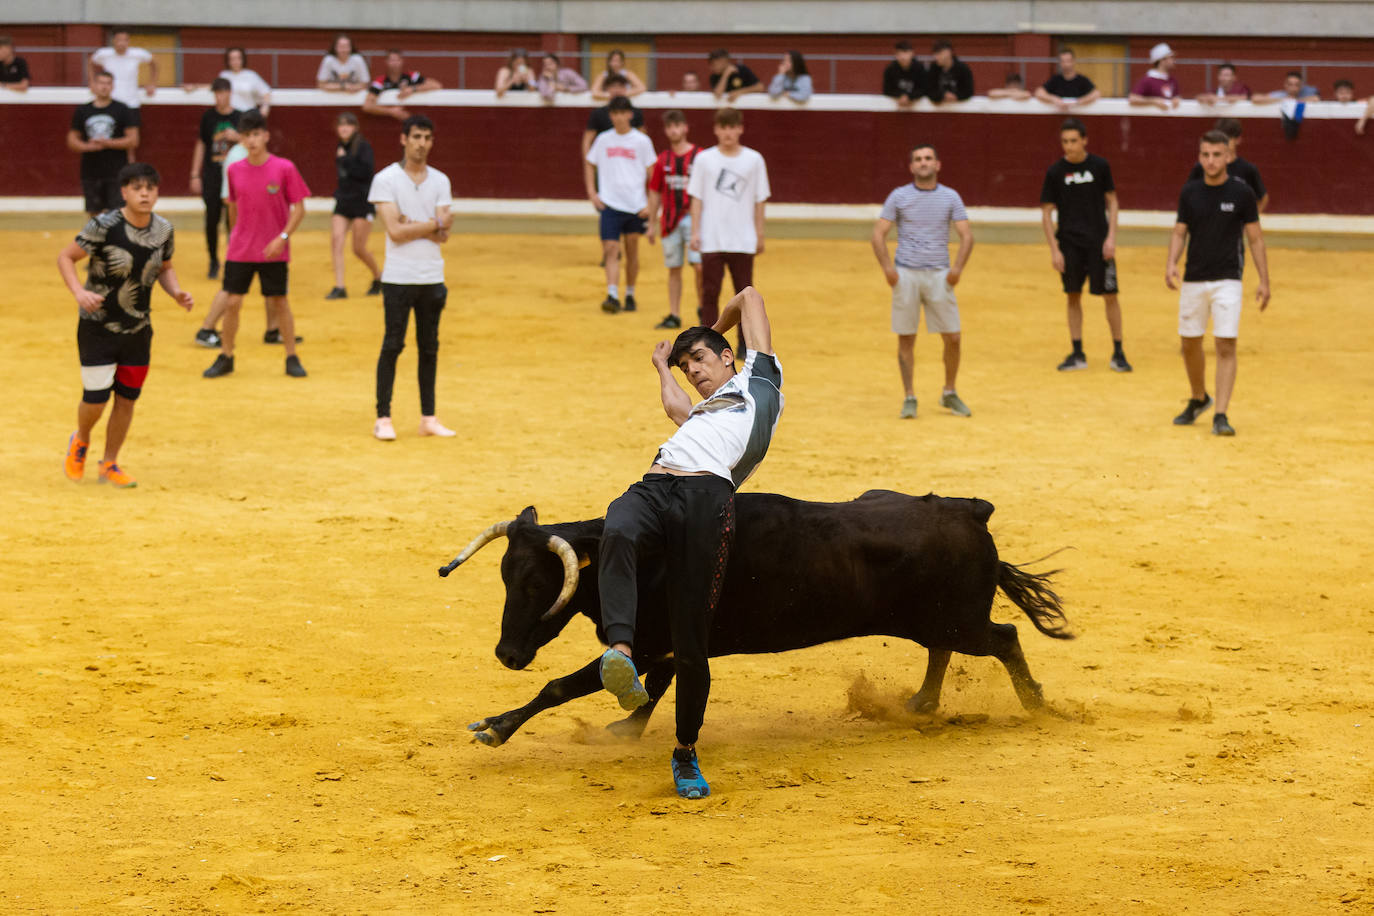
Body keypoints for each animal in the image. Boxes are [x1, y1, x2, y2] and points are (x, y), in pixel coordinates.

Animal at [442, 491, 1071, 747]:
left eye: (536, 584)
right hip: (937, 620)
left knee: (1005, 637)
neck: (640, 554)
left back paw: (1038, 705)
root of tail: (970, 510)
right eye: (505, 578)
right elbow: (656, 687)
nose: (506, 655)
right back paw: (921, 704)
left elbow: (563, 686)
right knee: (946, 648)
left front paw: (496, 727)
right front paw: (627, 729)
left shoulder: (647, 644)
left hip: (961, 620)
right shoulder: (664, 645)